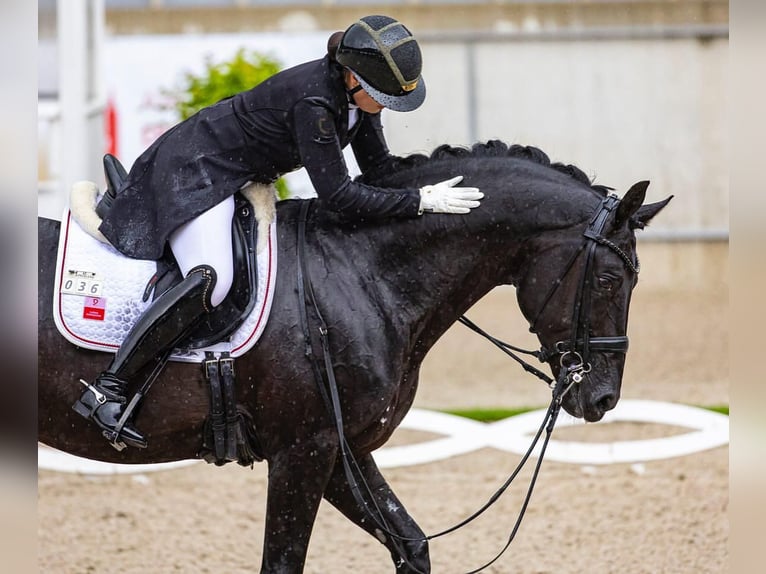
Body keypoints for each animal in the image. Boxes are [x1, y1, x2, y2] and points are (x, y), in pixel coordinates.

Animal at [38, 141, 671, 573]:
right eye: (610, 280)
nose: (603, 397)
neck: (360, 274)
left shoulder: (346, 449)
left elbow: (412, 545)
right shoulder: (303, 451)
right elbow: (283, 563)